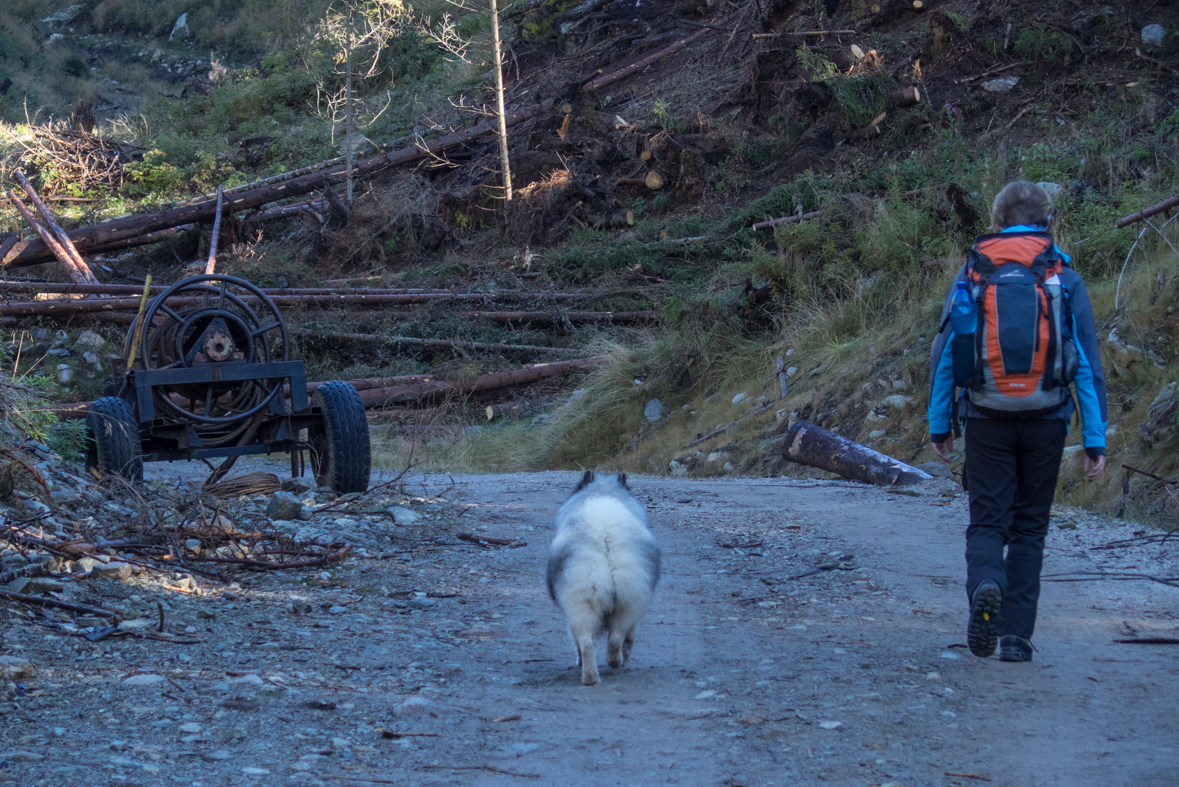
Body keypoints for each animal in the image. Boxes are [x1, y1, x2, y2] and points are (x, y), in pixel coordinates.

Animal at [544, 471, 660, 683]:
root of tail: (605, 537)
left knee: (586, 643)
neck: (602, 492)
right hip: (627, 602)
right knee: (614, 641)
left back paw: (590, 677)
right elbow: (630, 637)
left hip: (582, 603)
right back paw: (614, 664)